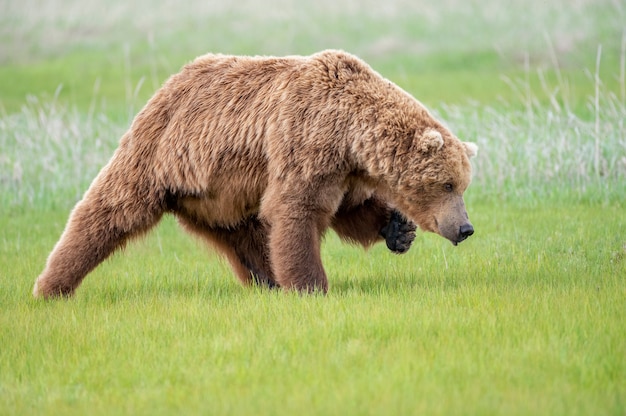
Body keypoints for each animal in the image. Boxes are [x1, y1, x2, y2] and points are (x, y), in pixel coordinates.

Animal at [31, 49, 476, 300]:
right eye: (447, 183)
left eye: (463, 184)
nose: (465, 227)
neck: (349, 130)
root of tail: (169, 82)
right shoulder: (305, 140)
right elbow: (296, 211)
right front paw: (311, 286)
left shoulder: (342, 170)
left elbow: (349, 208)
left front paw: (398, 229)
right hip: (160, 153)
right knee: (110, 208)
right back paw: (52, 285)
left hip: (220, 195)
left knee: (247, 234)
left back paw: (268, 279)